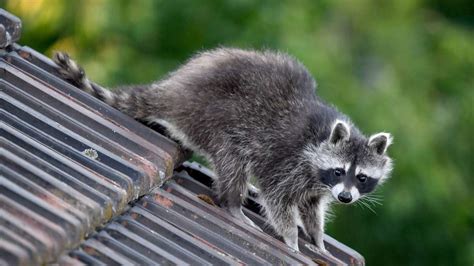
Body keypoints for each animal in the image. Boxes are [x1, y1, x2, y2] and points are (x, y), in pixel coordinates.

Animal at [52, 48, 392, 252]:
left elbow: (311, 207)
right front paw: (292, 240)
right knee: (233, 159)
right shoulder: (288, 159)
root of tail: (176, 90)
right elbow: (278, 197)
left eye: (361, 177)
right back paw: (233, 204)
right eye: (339, 170)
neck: (322, 136)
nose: (345, 197)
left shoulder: (315, 183)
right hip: (217, 116)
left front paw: (317, 239)